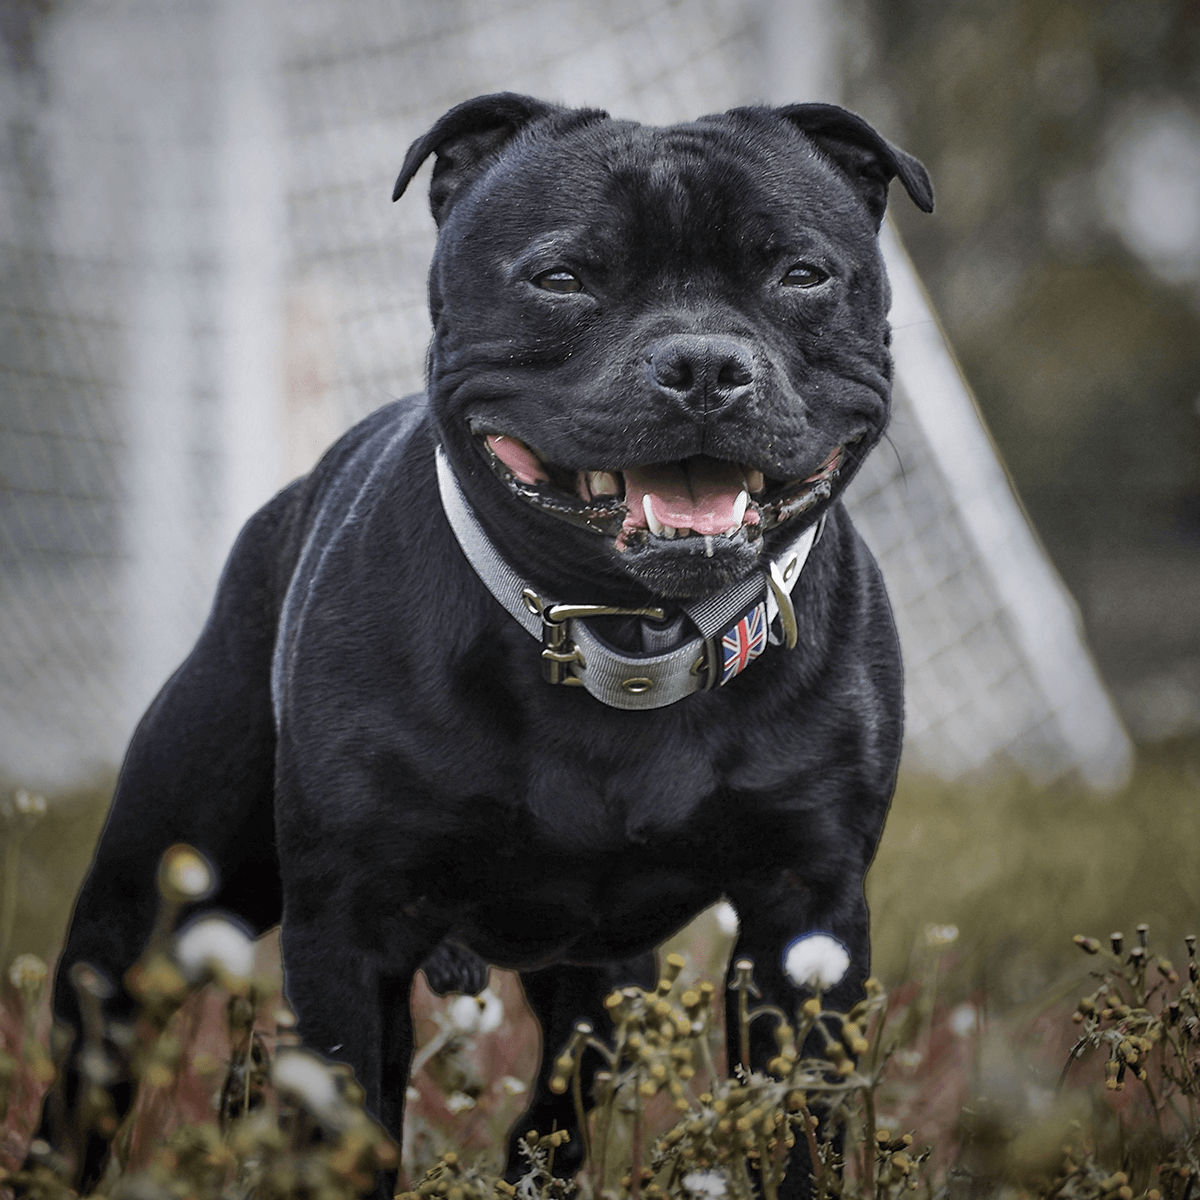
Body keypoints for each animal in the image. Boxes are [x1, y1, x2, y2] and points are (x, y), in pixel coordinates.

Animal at [37, 96, 931, 1200]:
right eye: (563, 278)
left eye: (801, 275)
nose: (704, 366)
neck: (625, 639)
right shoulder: (349, 934)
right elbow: (346, 1127)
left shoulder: (805, 922)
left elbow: (798, 1130)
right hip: (153, 905)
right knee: (90, 1066)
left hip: (601, 980)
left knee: (559, 1103)